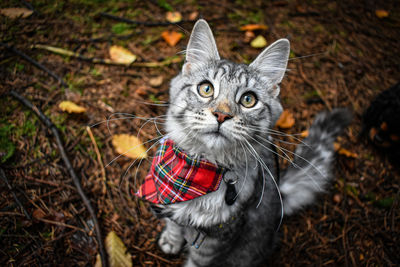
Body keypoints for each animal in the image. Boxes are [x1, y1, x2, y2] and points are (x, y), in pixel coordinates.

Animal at [137, 19, 350, 266]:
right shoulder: (166, 204)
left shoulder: (217, 236)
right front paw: (170, 242)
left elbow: (197, 262)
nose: (221, 115)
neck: (198, 174)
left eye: (248, 100)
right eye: (206, 88)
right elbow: (172, 226)